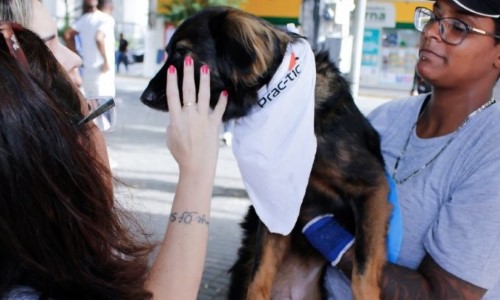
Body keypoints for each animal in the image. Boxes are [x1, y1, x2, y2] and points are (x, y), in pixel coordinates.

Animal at [140, 7, 390, 300]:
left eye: (182, 52)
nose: (144, 97)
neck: (271, 90)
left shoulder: (372, 186)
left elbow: (362, 270)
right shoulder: (274, 207)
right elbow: (259, 275)